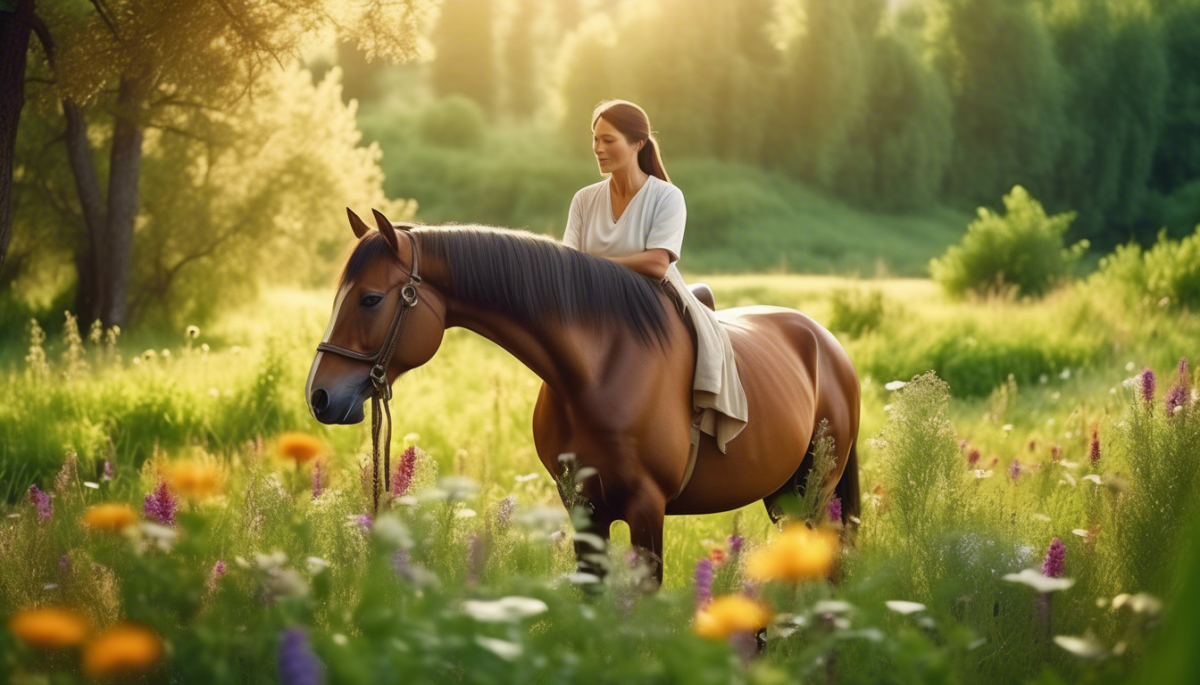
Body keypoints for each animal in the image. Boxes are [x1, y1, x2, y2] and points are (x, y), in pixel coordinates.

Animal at [304, 208, 859, 590]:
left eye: (371, 298)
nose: (320, 395)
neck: (598, 371)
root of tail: (826, 345)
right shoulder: (582, 507)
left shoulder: (646, 507)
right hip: (785, 495)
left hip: (816, 493)